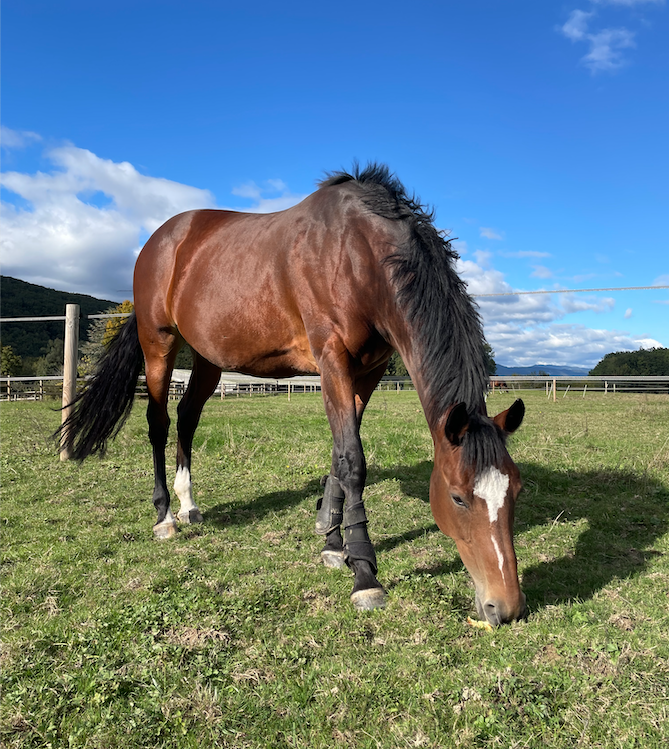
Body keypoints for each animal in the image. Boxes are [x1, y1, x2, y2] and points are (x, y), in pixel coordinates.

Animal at [60, 165, 524, 624]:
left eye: (516, 491)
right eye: (458, 497)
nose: (505, 607)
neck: (359, 253)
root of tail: (161, 239)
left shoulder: (369, 369)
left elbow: (340, 453)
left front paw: (333, 543)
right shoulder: (331, 357)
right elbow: (353, 459)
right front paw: (364, 575)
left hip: (208, 358)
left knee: (188, 417)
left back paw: (189, 504)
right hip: (158, 343)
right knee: (159, 422)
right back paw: (165, 517)